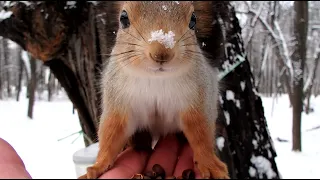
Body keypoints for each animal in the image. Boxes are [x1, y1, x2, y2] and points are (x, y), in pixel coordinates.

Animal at [80, 1, 230, 179]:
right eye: (123, 18)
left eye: (193, 20)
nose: (162, 52)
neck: (156, 79)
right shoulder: (118, 102)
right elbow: (111, 135)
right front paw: (99, 166)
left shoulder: (198, 101)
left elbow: (201, 135)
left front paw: (210, 165)